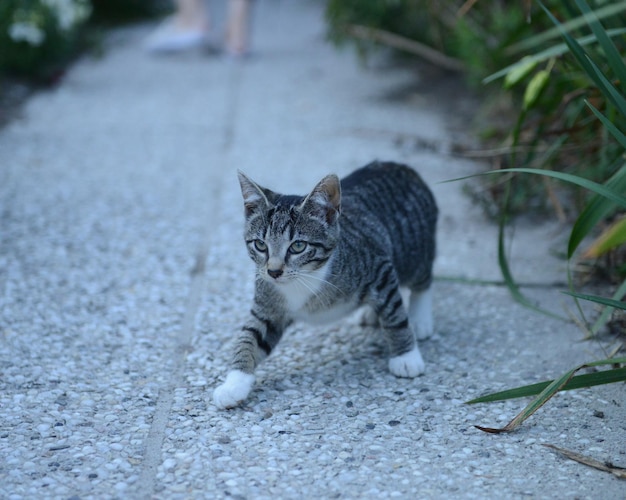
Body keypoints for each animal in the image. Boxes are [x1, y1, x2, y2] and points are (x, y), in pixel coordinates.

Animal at [212, 160, 436, 410]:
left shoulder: (379, 266)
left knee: (422, 280)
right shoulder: (267, 305)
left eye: (298, 246)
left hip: (414, 251)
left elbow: (395, 315)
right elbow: (250, 336)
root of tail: (398, 166)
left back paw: (420, 318)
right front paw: (234, 383)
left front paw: (406, 357)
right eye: (260, 245)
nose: (274, 271)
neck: (304, 278)